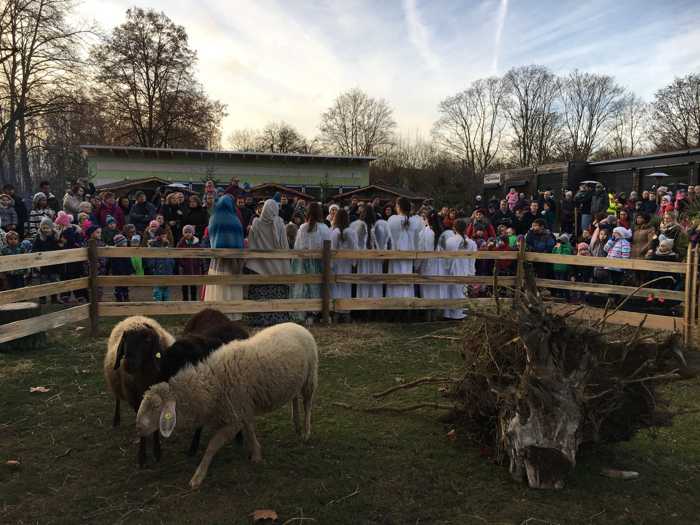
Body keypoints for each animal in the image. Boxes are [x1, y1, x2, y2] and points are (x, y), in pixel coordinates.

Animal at [104, 314, 175, 464]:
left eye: (147, 340)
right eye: (125, 339)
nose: (128, 363)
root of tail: (135, 316)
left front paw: (157, 451)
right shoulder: (135, 399)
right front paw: (142, 455)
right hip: (116, 382)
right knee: (117, 398)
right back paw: (116, 420)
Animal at [135, 322, 320, 490]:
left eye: (156, 407)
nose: (138, 428)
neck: (212, 383)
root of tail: (297, 325)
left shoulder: (234, 418)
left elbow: (212, 446)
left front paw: (198, 476)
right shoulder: (243, 409)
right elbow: (249, 430)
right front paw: (257, 454)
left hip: (310, 376)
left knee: (307, 403)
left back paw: (306, 432)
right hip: (295, 380)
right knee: (294, 399)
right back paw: (296, 424)